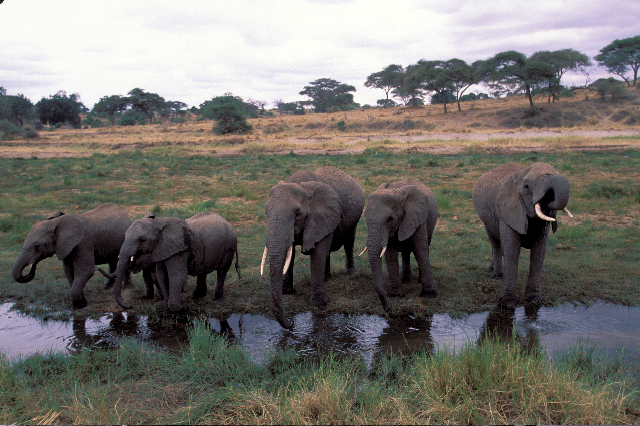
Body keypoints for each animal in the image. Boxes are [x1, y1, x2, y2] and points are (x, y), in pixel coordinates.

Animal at [261, 166, 365, 329]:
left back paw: (350, 273)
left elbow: (317, 253)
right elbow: (290, 253)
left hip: (354, 218)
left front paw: (318, 304)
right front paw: (287, 293)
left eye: (298, 213)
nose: (291, 324)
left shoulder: (323, 216)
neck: (300, 185)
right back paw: (327, 277)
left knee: (349, 241)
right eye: (266, 212)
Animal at [362, 178, 439, 312]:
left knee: (424, 249)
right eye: (365, 218)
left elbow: (420, 250)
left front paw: (429, 295)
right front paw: (396, 296)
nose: (387, 309)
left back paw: (418, 280)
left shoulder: (418, 218)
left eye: (389, 219)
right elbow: (390, 255)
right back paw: (405, 280)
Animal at [472, 162, 572, 308]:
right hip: (486, 218)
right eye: (526, 186)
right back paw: (498, 275)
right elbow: (512, 250)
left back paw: (492, 269)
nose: (549, 198)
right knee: (495, 243)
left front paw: (534, 299)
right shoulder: (507, 210)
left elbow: (539, 251)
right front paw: (508, 304)